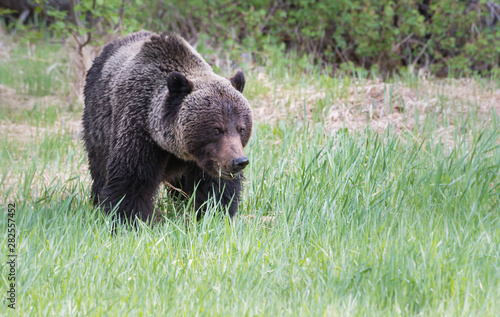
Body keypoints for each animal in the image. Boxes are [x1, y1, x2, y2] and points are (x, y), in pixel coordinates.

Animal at [84, 30, 254, 221]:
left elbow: (217, 188)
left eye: (241, 129)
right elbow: (131, 182)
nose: (239, 161)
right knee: (99, 167)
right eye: (217, 129)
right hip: (99, 123)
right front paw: (129, 219)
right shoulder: (140, 132)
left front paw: (216, 214)